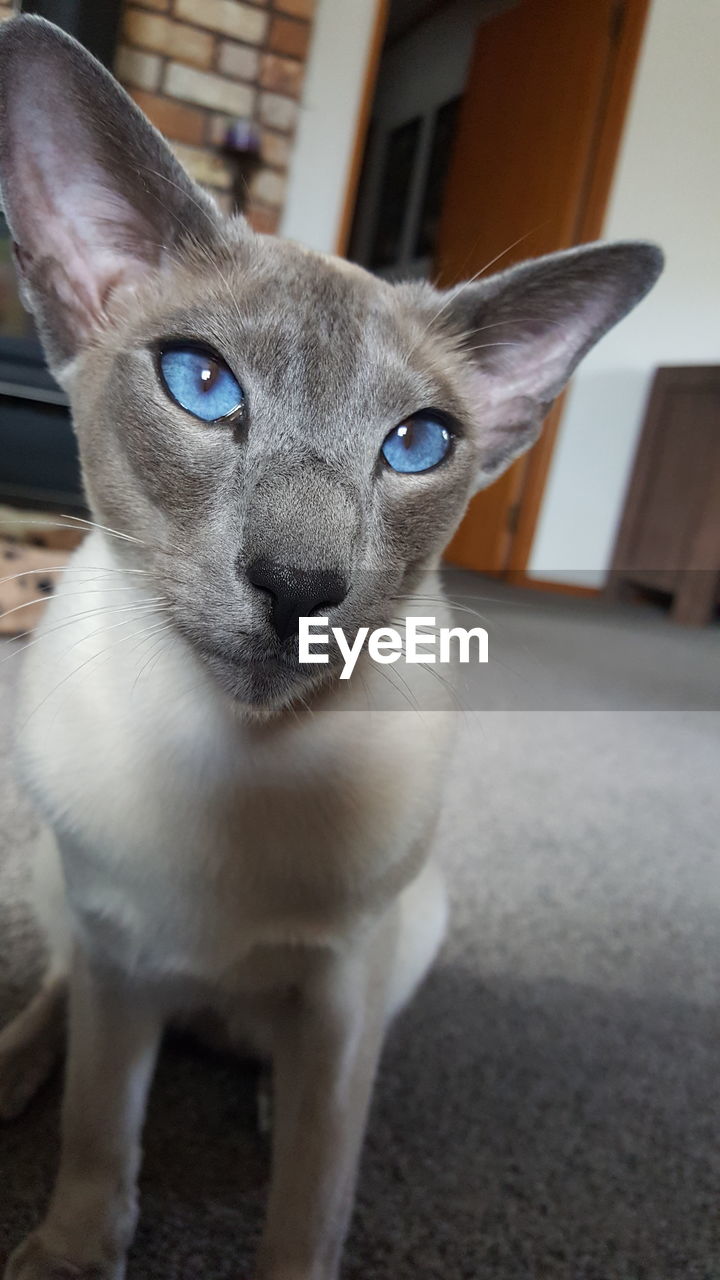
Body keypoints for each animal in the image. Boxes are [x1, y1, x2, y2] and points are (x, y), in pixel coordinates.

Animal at [0, 12, 661, 1280]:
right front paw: (68, 1249)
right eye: (201, 384)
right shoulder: (121, 957)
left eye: (418, 444)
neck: (230, 762)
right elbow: (101, 1132)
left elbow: (311, 1201)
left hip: (412, 930)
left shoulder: (344, 991)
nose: (303, 585)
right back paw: (10, 1067)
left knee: (294, 1076)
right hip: (71, 898)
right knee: (60, 993)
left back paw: (258, 1094)